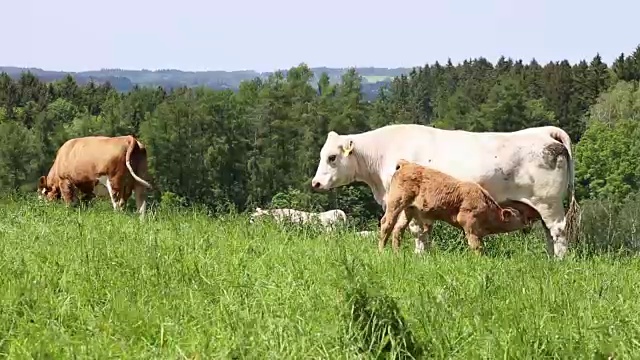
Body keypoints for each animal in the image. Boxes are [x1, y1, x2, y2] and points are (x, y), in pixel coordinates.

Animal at [380, 159, 536, 255]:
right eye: (519, 215)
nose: (528, 221)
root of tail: (406, 164)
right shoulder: (469, 225)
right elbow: (476, 246)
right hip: (396, 202)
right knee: (386, 224)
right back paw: (381, 251)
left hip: (409, 209)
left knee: (398, 229)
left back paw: (397, 253)